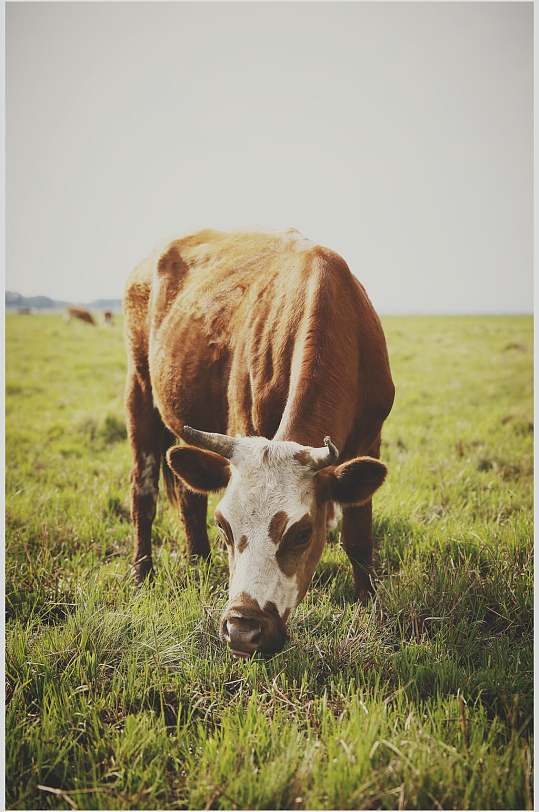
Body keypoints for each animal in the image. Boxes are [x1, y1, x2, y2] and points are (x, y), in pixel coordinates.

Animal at [124, 225, 394, 656]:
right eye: (225, 526)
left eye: (302, 533)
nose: (242, 630)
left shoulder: (369, 440)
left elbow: (359, 538)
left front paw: (369, 605)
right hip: (139, 389)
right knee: (143, 493)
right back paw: (141, 574)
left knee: (189, 498)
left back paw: (198, 563)